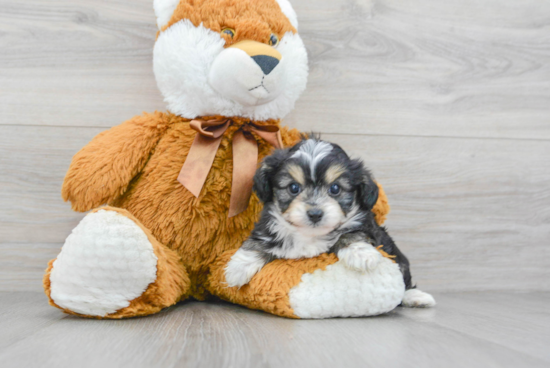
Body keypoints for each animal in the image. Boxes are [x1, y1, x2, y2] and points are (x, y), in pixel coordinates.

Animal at [224, 138, 436, 308]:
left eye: (335, 188)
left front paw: (361, 254)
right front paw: (238, 267)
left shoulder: (367, 225)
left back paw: (416, 297)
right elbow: (261, 239)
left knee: (404, 276)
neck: (310, 235)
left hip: (396, 255)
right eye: (293, 188)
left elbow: (352, 232)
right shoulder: (269, 225)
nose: (315, 213)